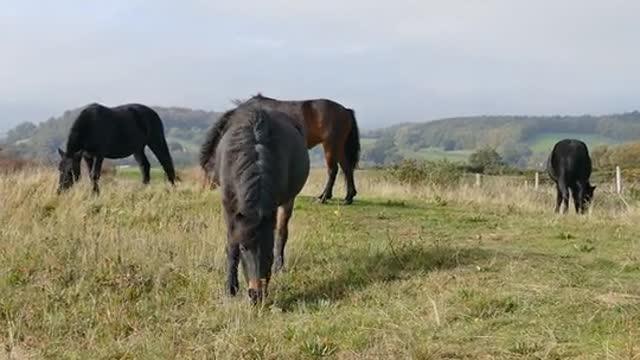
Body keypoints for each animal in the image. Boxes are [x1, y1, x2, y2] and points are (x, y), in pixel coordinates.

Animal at [200, 106, 310, 304]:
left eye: (268, 246)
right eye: (244, 248)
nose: (256, 295)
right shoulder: (229, 209)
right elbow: (231, 246)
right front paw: (230, 288)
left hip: (288, 201)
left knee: (282, 231)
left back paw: (279, 266)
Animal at [202, 93, 358, 205]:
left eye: (207, 168)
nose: (205, 189)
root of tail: (346, 110)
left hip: (331, 145)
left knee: (333, 170)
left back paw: (324, 198)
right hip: (339, 146)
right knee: (347, 168)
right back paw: (348, 197)